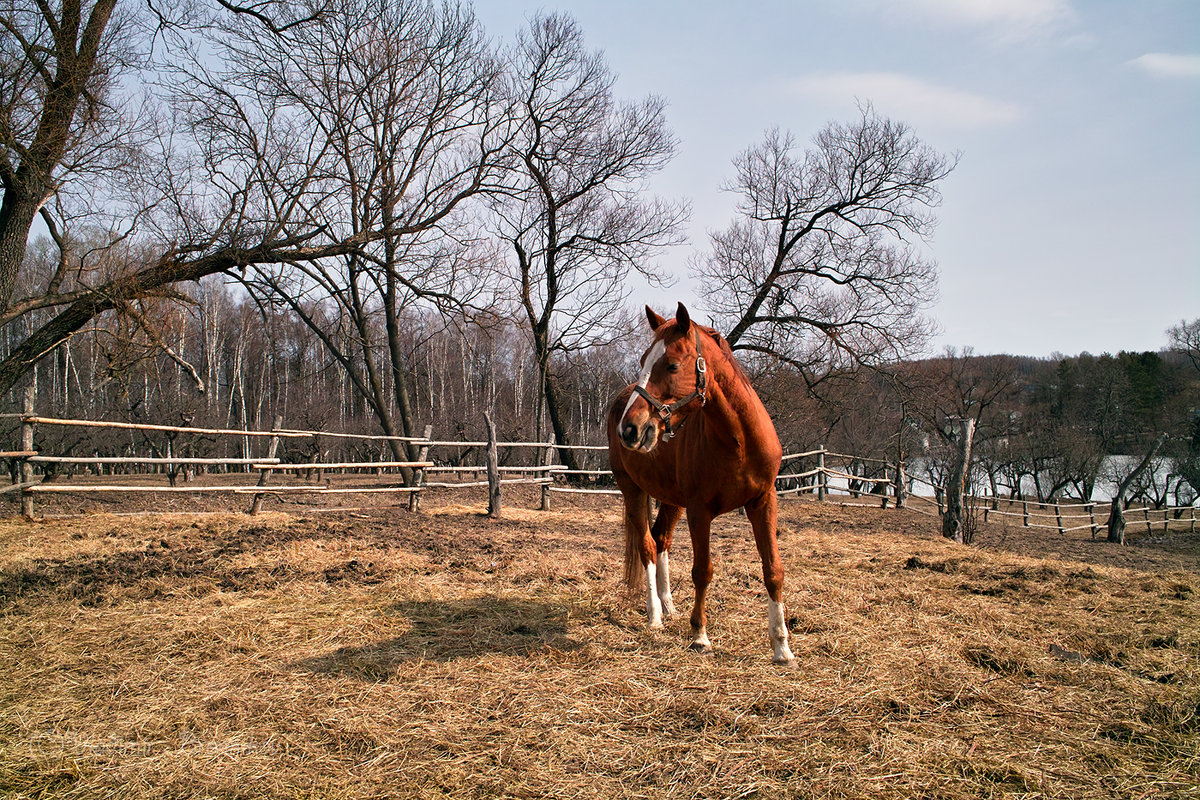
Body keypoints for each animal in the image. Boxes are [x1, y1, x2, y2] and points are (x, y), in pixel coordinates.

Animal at [604, 299, 792, 662]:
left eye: (673, 365)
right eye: (642, 361)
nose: (630, 429)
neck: (739, 441)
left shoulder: (763, 501)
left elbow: (773, 570)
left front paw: (781, 646)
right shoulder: (699, 511)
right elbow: (702, 571)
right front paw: (700, 635)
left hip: (670, 500)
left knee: (661, 539)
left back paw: (668, 606)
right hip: (632, 490)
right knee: (648, 546)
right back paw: (654, 616)